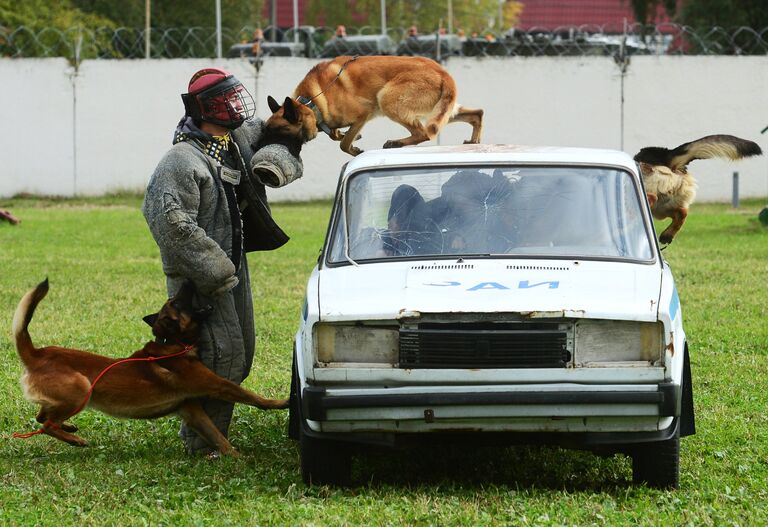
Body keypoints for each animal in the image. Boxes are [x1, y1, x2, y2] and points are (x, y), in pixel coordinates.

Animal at [12, 278, 288, 456]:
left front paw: (237, 459)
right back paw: (75, 439)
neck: (173, 343)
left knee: (41, 417)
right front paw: (282, 402)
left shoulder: (192, 411)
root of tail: (37, 353)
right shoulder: (217, 384)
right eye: (175, 302)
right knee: (46, 424)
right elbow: (253, 397)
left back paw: (68, 427)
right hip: (82, 388)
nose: (188, 281)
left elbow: (219, 439)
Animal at [260, 55, 484, 157]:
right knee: (477, 113)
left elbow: (343, 144)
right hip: (443, 111)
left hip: (386, 99)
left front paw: (354, 148)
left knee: (423, 133)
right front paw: (347, 136)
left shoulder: (363, 114)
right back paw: (474, 141)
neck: (312, 100)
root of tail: (443, 73)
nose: (255, 148)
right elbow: (336, 135)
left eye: (277, 132)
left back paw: (396, 143)